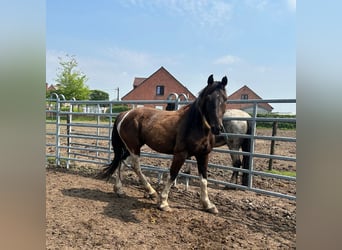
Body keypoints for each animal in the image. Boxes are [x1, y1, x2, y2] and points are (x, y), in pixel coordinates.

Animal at [99, 74, 227, 213]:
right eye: (208, 98)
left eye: (225, 99)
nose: (217, 128)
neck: (195, 124)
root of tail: (124, 114)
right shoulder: (180, 154)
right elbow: (173, 174)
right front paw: (163, 202)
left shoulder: (203, 154)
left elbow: (203, 178)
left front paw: (208, 205)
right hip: (134, 147)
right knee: (135, 166)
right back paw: (151, 192)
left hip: (130, 147)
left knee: (121, 162)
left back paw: (119, 190)